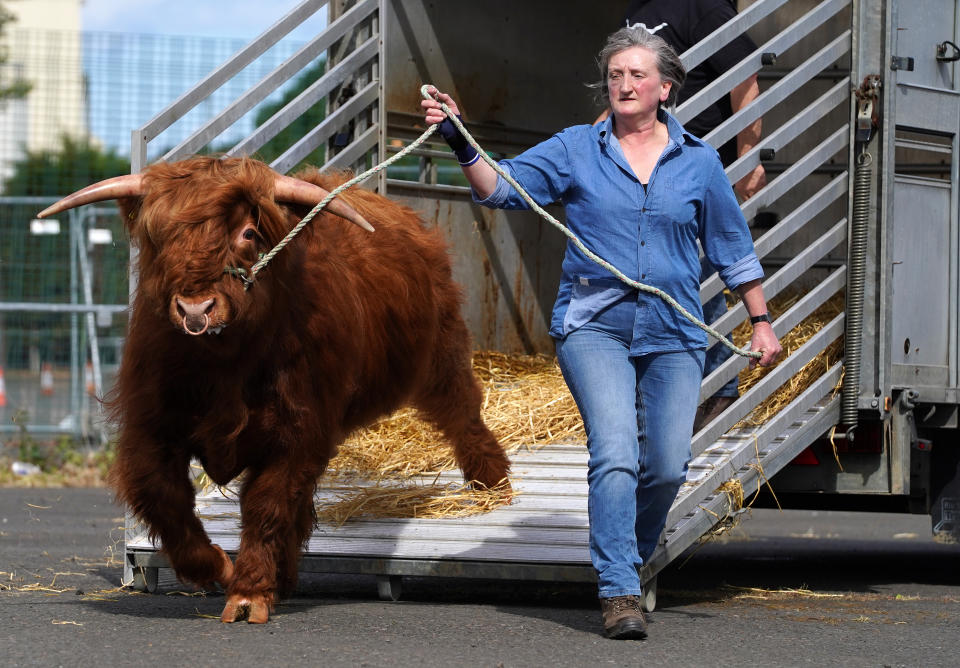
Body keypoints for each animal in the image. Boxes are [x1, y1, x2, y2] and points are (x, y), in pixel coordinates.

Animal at [39, 155, 510, 620]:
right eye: (159, 234)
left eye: (247, 233)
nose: (195, 308)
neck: (223, 365)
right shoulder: (151, 427)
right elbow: (162, 496)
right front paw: (220, 567)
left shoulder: (297, 431)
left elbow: (267, 504)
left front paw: (249, 593)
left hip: (441, 352)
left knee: (462, 411)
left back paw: (493, 482)